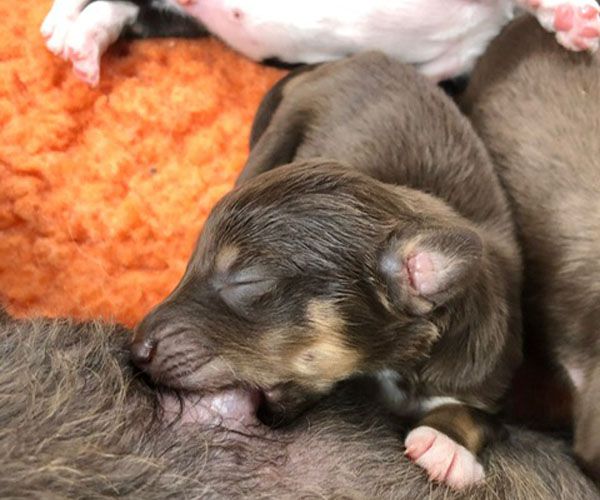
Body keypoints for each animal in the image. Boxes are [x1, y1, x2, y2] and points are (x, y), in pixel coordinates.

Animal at [131, 52, 523, 489]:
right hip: (279, 132)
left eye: (247, 280)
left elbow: (476, 413)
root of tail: (351, 58)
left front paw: (446, 444)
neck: (393, 369)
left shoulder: (491, 374)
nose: (136, 350)